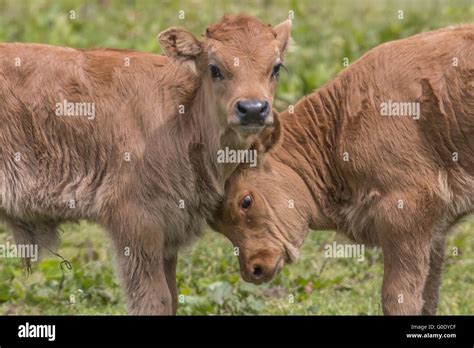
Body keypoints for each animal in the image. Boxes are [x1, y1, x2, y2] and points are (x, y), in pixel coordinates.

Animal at [0, 14, 292, 314]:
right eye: (214, 69)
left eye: (276, 67)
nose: (253, 109)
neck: (183, 116)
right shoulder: (137, 224)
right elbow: (155, 300)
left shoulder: (169, 231)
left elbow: (172, 296)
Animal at [211, 24, 474, 316]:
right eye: (215, 223)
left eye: (245, 201)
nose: (253, 269)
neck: (339, 126)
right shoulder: (435, 230)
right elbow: (429, 294)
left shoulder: (405, 212)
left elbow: (399, 297)